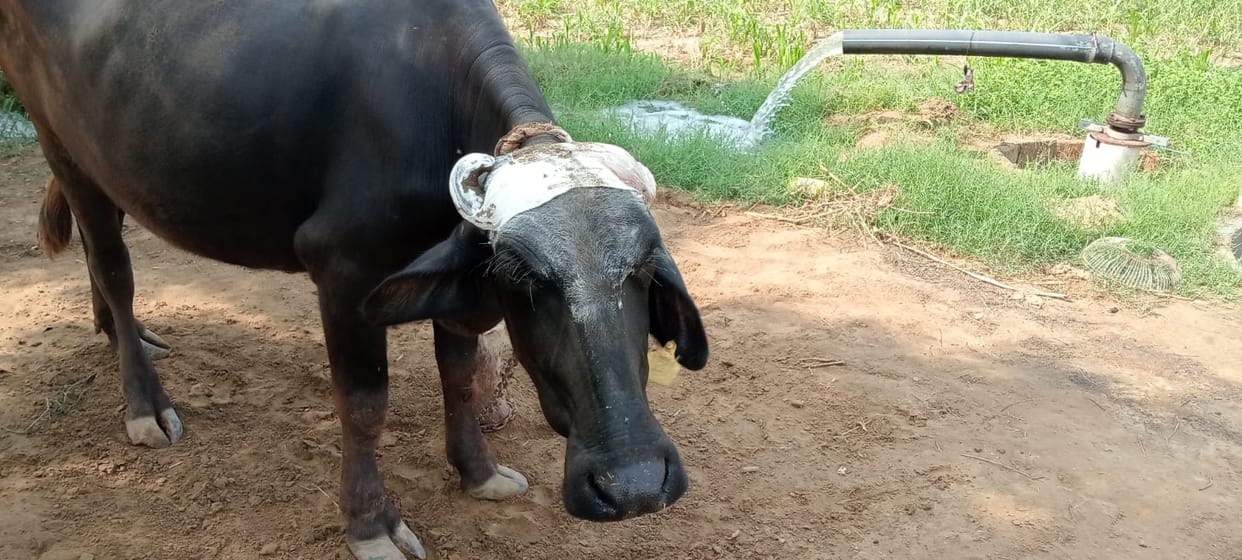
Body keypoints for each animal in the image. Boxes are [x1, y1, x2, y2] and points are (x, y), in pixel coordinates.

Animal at [0, 1, 708, 558]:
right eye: (524, 278)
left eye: (644, 270)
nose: (633, 483)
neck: (427, 106)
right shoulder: (342, 274)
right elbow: (365, 405)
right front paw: (372, 525)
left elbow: (460, 376)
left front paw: (478, 472)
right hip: (59, 143)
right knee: (112, 266)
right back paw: (145, 403)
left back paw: (121, 337)